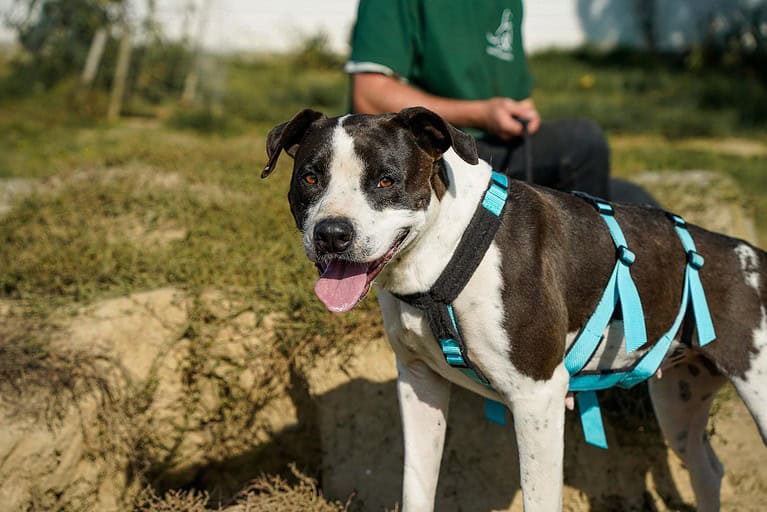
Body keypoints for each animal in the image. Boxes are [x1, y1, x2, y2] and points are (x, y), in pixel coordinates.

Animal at [266, 106, 767, 510]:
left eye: (385, 180)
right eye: (310, 178)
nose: (332, 233)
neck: (446, 248)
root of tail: (751, 254)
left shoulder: (537, 397)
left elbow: (539, 498)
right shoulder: (419, 383)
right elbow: (417, 487)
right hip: (679, 404)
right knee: (707, 471)